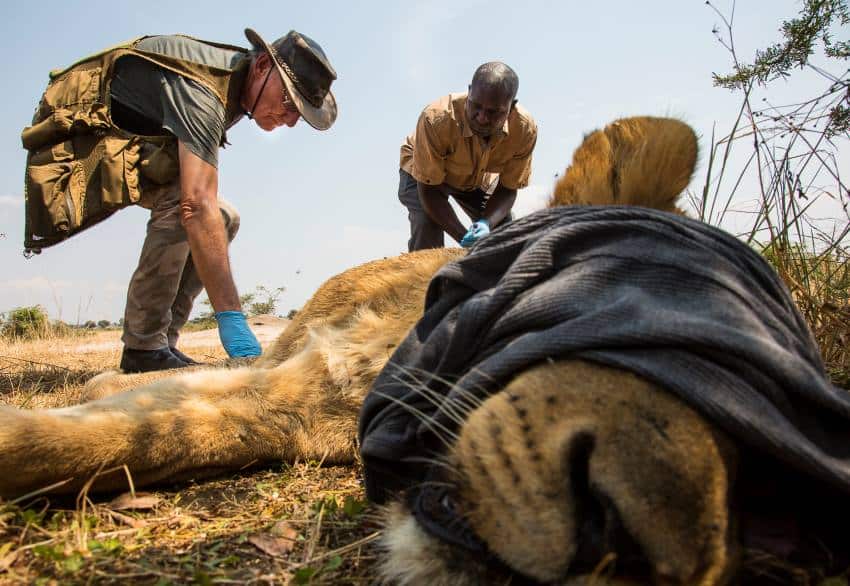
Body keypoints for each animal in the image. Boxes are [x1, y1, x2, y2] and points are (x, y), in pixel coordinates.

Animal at [1, 116, 848, 580]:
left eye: (762, 468)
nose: (626, 548)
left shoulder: (280, 415)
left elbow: (130, 439)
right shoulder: (292, 380)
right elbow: (89, 439)